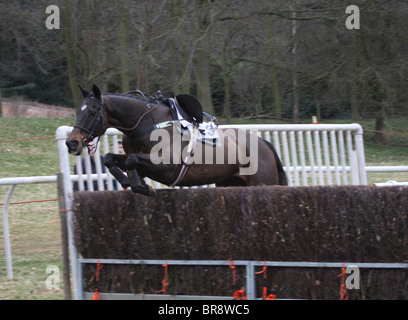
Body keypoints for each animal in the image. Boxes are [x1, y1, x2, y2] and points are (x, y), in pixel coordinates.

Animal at [65, 84, 286, 196]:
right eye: (78, 112)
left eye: (92, 112)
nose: (71, 142)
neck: (145, 125)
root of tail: (264, 144)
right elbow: (110, 158)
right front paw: (129, 180)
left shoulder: (167, 167)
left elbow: (131, 161)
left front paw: (140, 186)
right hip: (229, 183)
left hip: (261, 183)